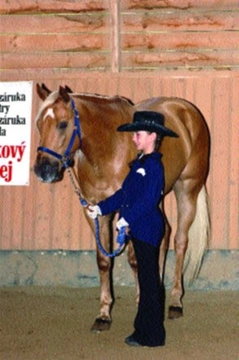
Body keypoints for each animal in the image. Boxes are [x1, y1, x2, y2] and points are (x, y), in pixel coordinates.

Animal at [33, 83, 209, 332]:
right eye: (39, 123)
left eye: (63, 123)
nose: (43, 170)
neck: (108, 148)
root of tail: (187, 111)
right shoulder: (96, 211)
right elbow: (104, 261)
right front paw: (104, 314)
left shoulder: (130, 210)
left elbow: (135, 259)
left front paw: (141, 304)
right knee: (164, 233)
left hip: (187, 189)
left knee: (180, 241)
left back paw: (175, 302)